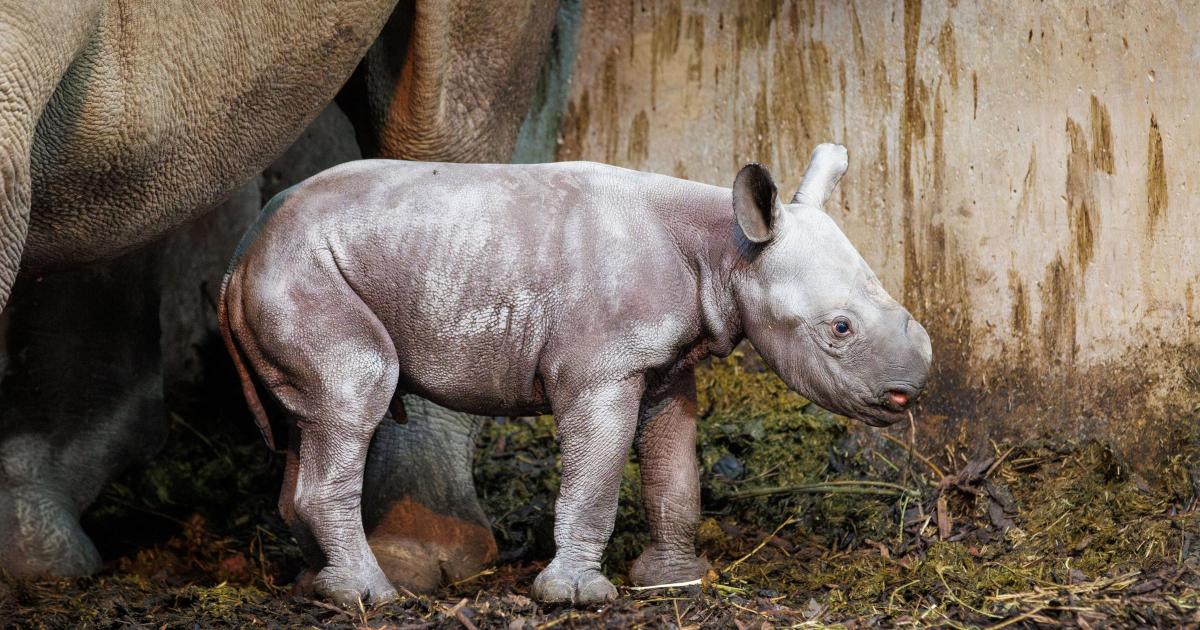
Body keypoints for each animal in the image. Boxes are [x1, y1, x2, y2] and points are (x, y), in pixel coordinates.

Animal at [219, 143, 932, 606]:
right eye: (840, 329)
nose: (911, 389)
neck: (729, 248)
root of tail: (241, 255)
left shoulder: (666, 367)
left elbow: (676, 472)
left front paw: (674, 580)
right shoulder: (600, 369)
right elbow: (597, 477)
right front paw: (577, 597)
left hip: (300, 270)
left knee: (312, 419)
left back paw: (319, 589)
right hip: (302, 272)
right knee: (354, 394)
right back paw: (371, 597)